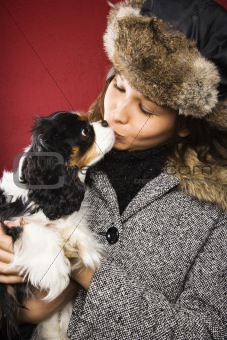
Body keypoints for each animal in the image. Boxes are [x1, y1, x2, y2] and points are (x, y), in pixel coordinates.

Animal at [0, 110, 115, 338]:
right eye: (85, 131)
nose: (106, 121)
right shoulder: (9, 219)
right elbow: (34, 229)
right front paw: (55, 270)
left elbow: (72, 229)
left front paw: (86, 248)